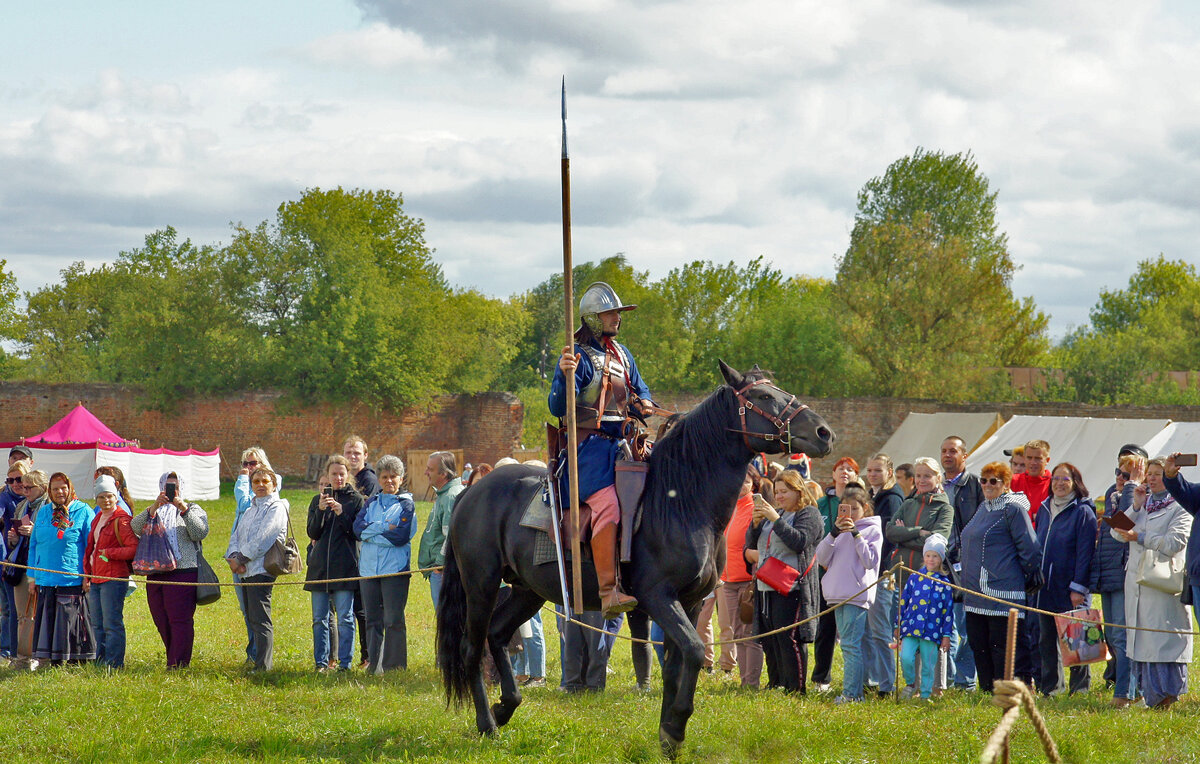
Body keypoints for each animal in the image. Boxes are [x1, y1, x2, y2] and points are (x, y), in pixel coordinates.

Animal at [439, 359, 835, 753]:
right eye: (763, 397)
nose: (824, 432)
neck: (681, 500)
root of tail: (473, 492)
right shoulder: (658, 596)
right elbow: (693, 651)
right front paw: (676, 726)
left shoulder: (691, 602)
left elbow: (677, 664)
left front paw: (668, 735)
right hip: (482, 585)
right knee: (472, 648)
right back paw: (488, 723)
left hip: (528, 591)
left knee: (497, 635)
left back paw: (505, 706)